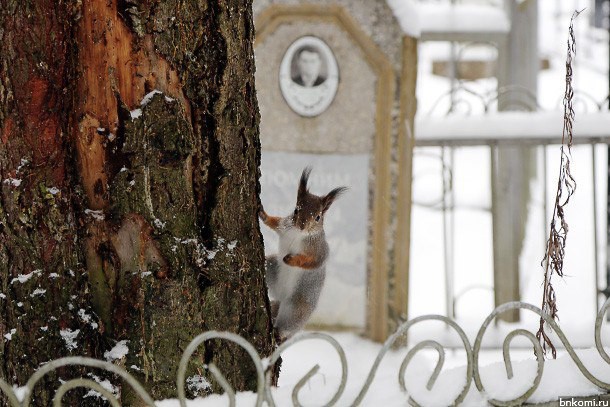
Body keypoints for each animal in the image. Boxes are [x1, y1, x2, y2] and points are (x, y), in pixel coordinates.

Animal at [258, 167, 346, 340]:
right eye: (295, 210)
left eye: (318, 217)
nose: (302, 225)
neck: (299, 234)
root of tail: (281, 297)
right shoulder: (284, 226)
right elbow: (274, 222)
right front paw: (263, 214)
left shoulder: (319, 250)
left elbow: (313, 262)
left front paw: (291, 260)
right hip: (272, 268)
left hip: (296, 309)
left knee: (287, 326)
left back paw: (278, 333)